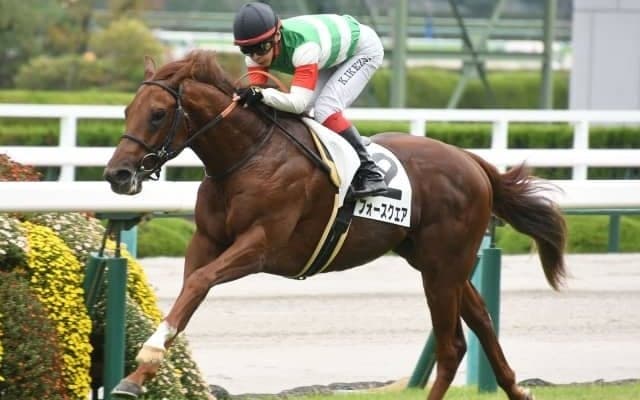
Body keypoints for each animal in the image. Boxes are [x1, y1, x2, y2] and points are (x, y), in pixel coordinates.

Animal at [104, 50, 566, 400]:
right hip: (437, 263)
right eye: (127, 110)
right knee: (482, 320)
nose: (117, 175)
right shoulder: (206, 240)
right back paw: (517, 389)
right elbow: (187, 296)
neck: (248, 156)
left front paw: (147, 354)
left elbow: (199, 284)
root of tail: (471, 161)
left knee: (452, 345)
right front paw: (137, 376)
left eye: (158, 114)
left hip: (443, 266)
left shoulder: (261, 245)